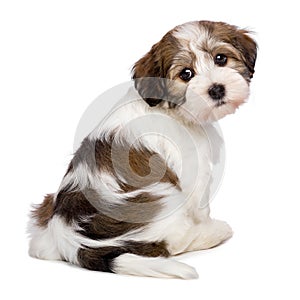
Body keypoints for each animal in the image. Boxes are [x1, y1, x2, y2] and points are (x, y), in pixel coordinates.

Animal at [28, 20, 258, 278]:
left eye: (221, 58)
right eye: (186, 74)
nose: (216, 89)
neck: (172, 108)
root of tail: (69, 239)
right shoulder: (192, 172)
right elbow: (200, 207)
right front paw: (207, 224)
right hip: (165, 196)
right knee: (175, 241)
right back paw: (214, 232)